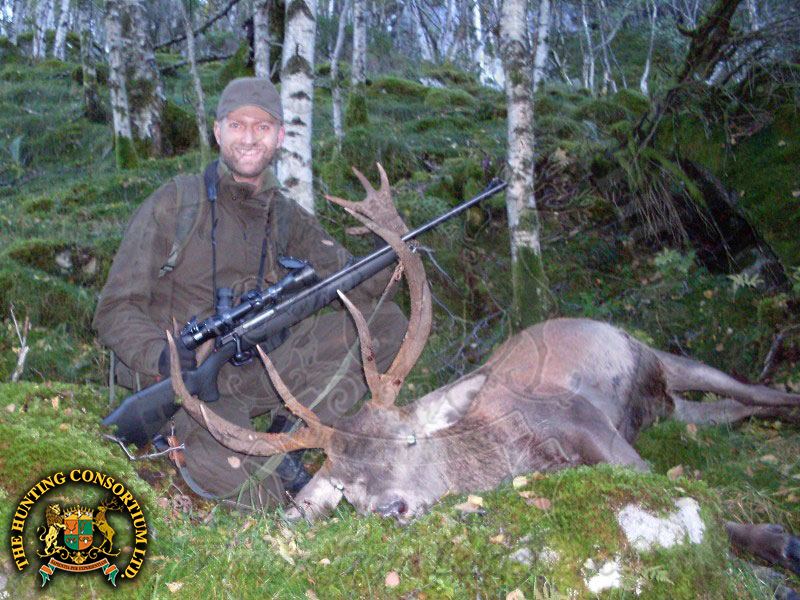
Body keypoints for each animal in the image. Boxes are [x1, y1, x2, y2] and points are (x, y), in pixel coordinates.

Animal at [168, 164, 800, 578]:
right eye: (344, 486)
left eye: (409, 440)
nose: (392, 509)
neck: (517, 454)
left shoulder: (583, 419)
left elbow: (679, 493)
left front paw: (775, 540)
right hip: (676, 404)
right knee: (729, 409)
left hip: (662, 356)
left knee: (754, 389)